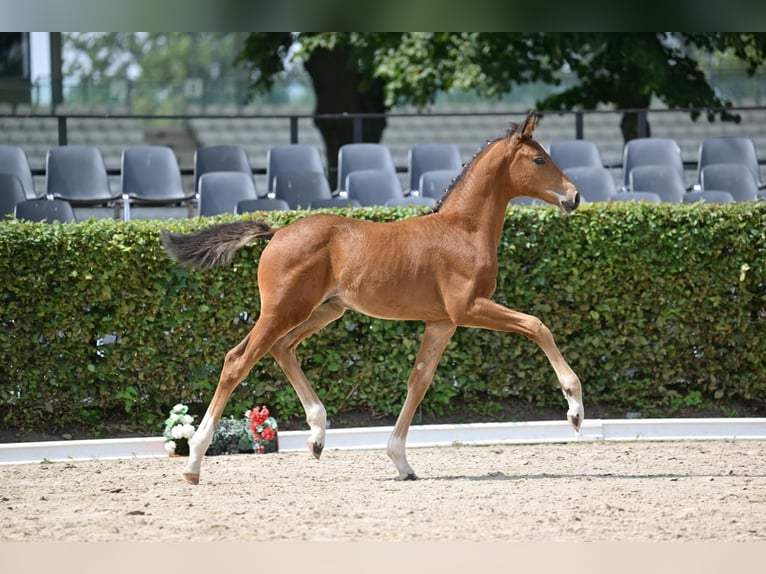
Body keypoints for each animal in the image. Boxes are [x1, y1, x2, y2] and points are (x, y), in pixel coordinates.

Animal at [162, 111, 583, 485]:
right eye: (539, 159)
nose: (575, 196)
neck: (462, 230)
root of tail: (277, 233)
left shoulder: (442, 322)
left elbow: (419, 380)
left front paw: (401, 462)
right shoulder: (469, 308)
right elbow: (537, 325)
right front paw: (575, 408)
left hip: (323, 311)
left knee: (282, 348)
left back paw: (317, 436)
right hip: (283, 310)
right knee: (238, 360)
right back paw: (194, 461)